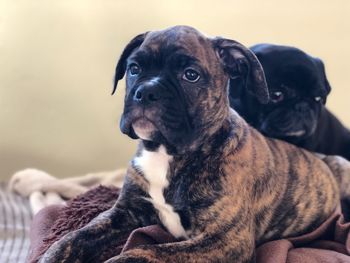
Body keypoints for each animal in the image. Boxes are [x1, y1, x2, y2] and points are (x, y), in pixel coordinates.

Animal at [37, 25, 350, 263]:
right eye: (134, 68)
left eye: (191, 75)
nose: (145, 92)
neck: (166, 153)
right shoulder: (122, 213)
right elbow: (72, 238)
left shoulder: (224, 240)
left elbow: (146, 251)